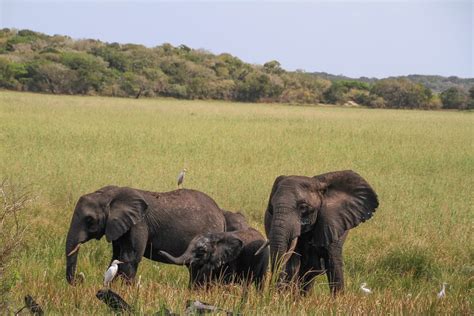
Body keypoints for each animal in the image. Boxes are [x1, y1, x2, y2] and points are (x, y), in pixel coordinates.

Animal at [65, 186, 226, 286]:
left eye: (89, 220)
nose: (79, 280)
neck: (111, 194)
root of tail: (221, 214)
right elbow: (117, 257)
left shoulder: (139, 224)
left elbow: (130, 258)